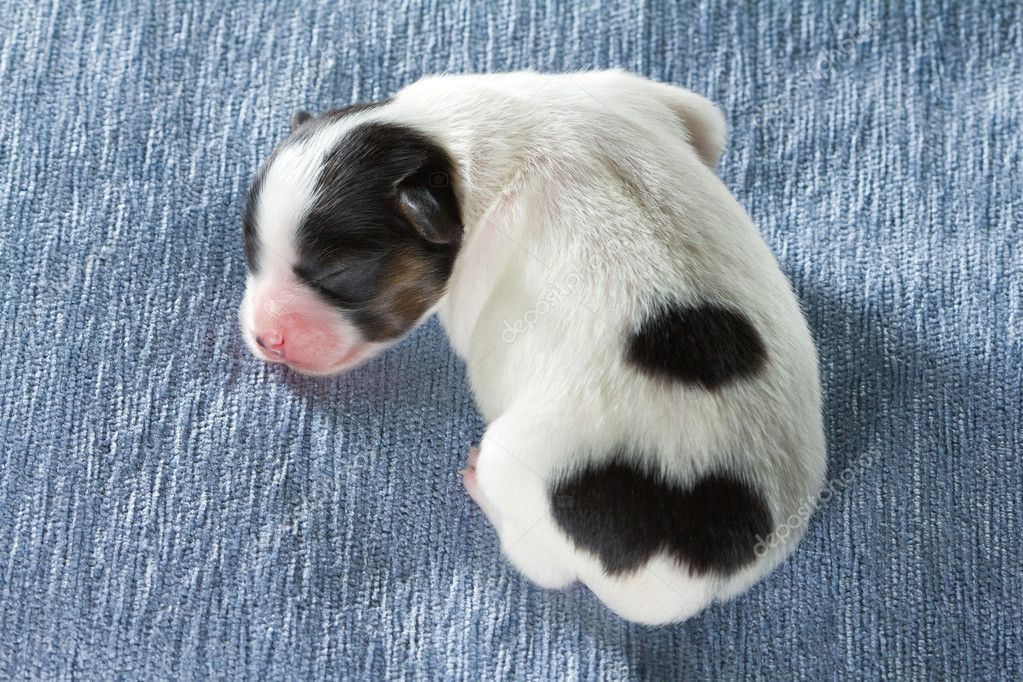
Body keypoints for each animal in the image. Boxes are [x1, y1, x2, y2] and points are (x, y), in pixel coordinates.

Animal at [237, 69, 822, 625]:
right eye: (251, 248)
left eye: (338, 274)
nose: (265, 337)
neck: (445, 143)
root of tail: (701, 571)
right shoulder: (633, 92)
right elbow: (705, 122)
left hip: (519, 461)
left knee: (538, 562)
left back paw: (479, 485)